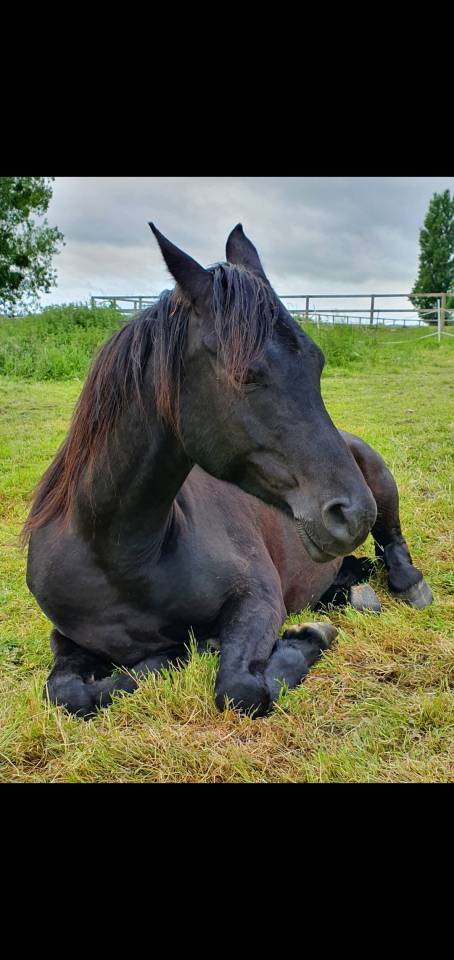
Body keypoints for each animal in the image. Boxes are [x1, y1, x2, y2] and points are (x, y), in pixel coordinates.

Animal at [23, 224, 432, 718]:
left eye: (317, 363)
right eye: (246, 375)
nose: (352, 513)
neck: (118, 556)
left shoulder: (258, 599)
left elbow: (240, 690)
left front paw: (308, 636)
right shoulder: (66, 638)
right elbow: (65, 692)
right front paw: (172, 655)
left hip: (381, 485)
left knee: (392, 542)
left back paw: (406, 584)